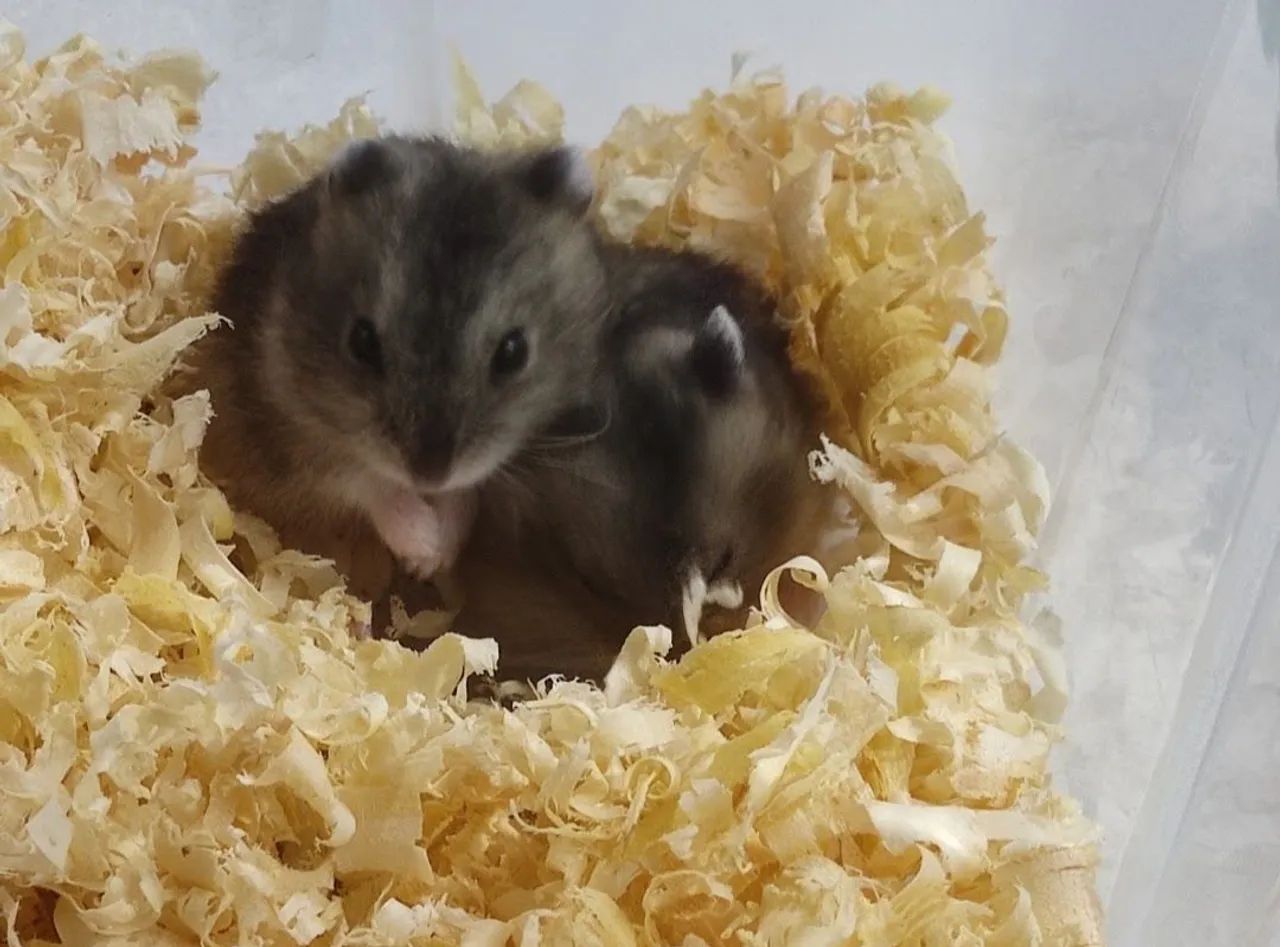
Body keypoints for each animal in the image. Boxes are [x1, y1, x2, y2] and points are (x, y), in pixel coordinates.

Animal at [179, 135, 611, 593]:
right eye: (362, 340)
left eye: (515, 351)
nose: (429, 475)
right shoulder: (289, 441)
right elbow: (371, 484)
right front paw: (425, 553)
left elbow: (466, 491)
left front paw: (441, 551)